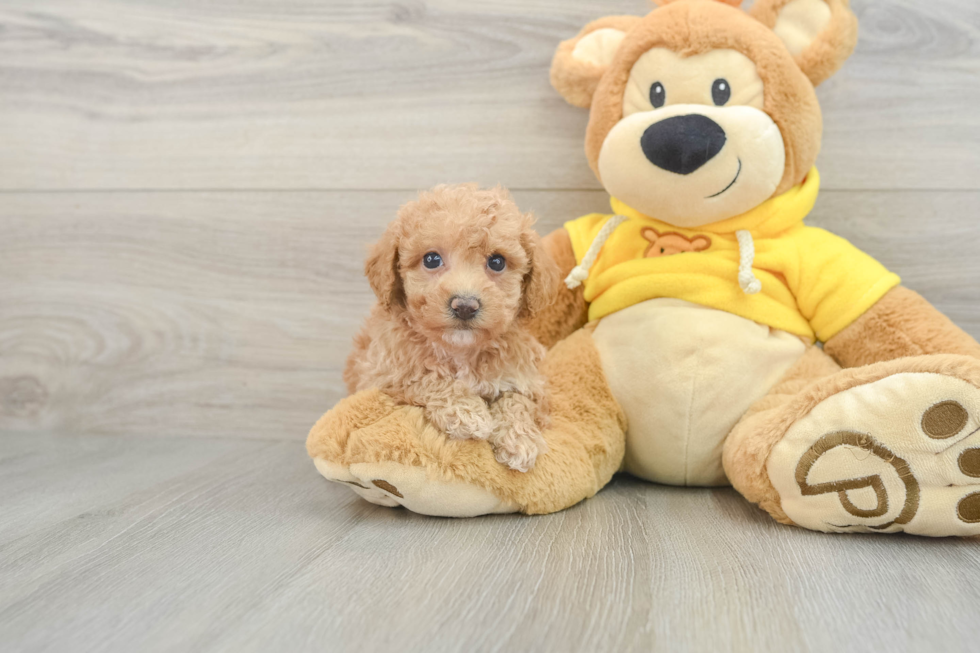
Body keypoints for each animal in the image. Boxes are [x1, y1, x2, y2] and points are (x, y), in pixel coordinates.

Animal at [344, 182, 560, 468]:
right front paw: (468, 412)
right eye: (431, 260)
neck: (461, 351)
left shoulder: (529, 380)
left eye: (497, 262)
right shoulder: (382, 373)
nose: (465, 306)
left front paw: (519, 439)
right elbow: (424, 375)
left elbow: (519, 399)